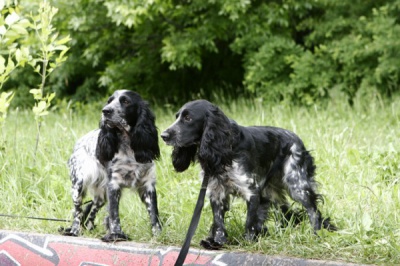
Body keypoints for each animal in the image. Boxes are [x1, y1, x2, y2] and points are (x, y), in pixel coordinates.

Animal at [61, 89, 162, 241]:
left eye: (125, 101)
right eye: (109, 101)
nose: (105, 111)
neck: (128, 146)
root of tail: (78, 143)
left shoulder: (148, 185)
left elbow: (154, 214)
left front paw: (158, 235)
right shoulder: (113, 185)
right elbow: (114, 215)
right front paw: (116, 235)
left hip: (101, 194)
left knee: (92, 210)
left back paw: (90, 228)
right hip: (78, 184)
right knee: (77, 212)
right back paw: (74, 230)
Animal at [161, 99, 336, 249]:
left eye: (188, 118)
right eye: (177, 117)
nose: (163, 135)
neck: (225, 146)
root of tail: (297, 140)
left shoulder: (251, 191)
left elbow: (250, 222)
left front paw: (249, 241)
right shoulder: (217, 191)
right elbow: (218, 221)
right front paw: (217, 242)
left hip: (296, 184)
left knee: (313, 210)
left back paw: (316, 233)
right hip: (270, 191)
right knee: (286, 212)